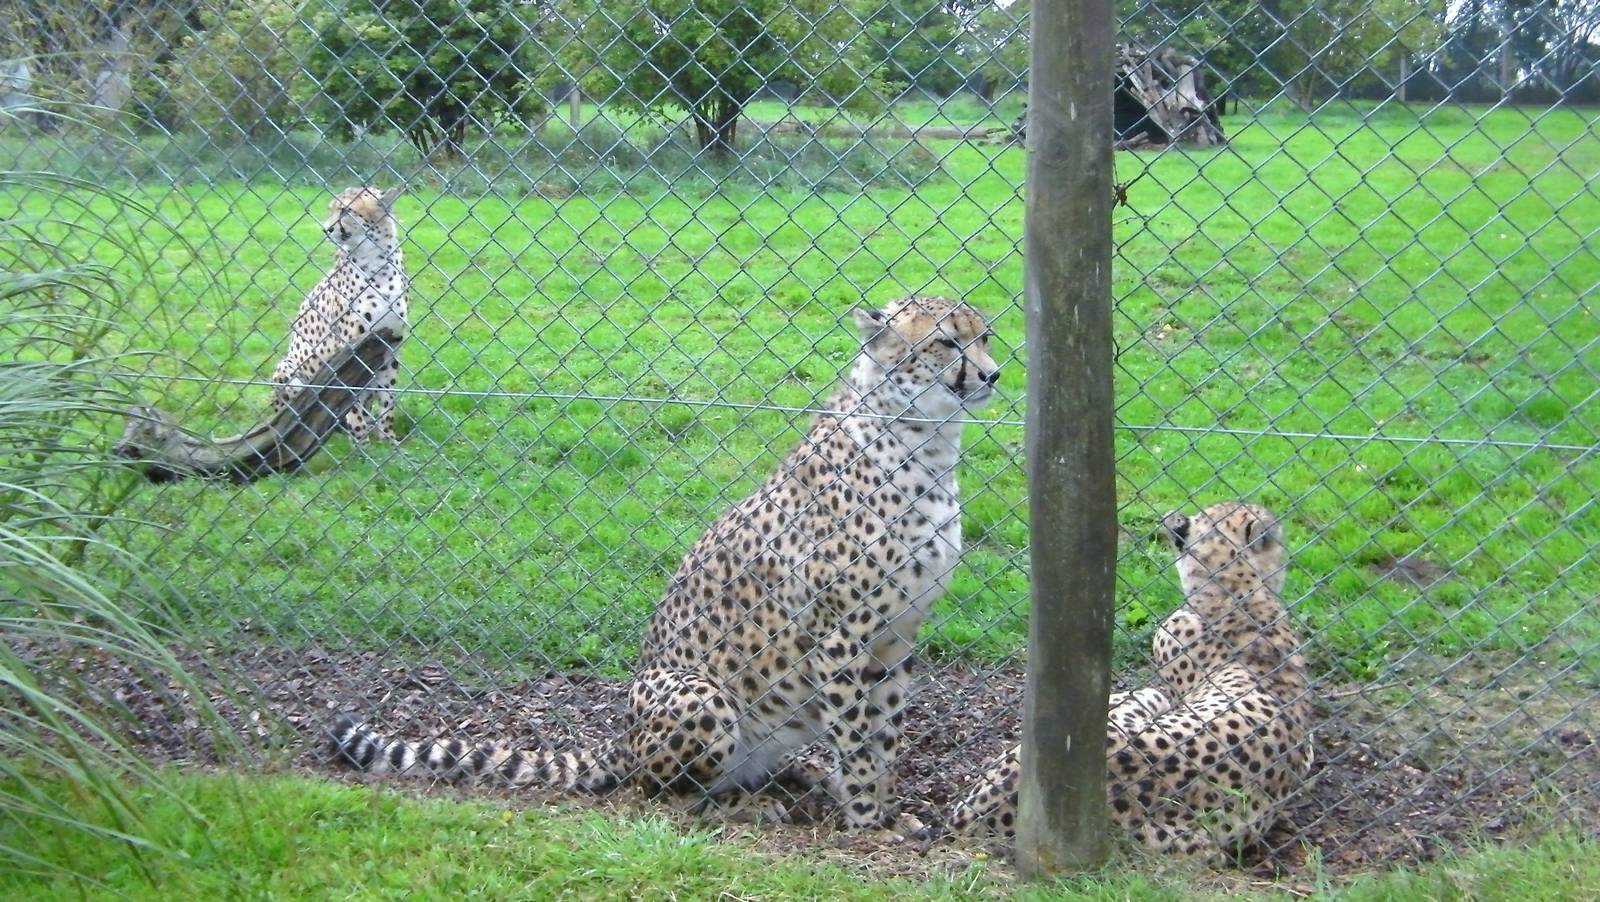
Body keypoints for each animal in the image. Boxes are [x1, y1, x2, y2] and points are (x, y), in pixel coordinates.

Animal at [270, 185, 408, 443]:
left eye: (346, 211)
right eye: (331, 210)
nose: (327, 229)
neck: (377, 262)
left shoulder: (390, 344)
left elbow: (388, 398)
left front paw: (388, 438)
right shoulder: (349, 346)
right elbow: (350, 396)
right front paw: (361, 438)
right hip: (288, 367)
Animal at [327, 296, 1001, 837]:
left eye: (987, 335)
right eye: (946, 343)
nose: (994, 375)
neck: (925, 438)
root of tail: (622, 741)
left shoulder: (896, 637)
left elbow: (883, 735)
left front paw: (886, 809)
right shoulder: (842, 636)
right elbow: (861, 738)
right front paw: (867, 823)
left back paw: (804, 776)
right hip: (700, 694)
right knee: (665, 797)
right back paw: (750, 807)